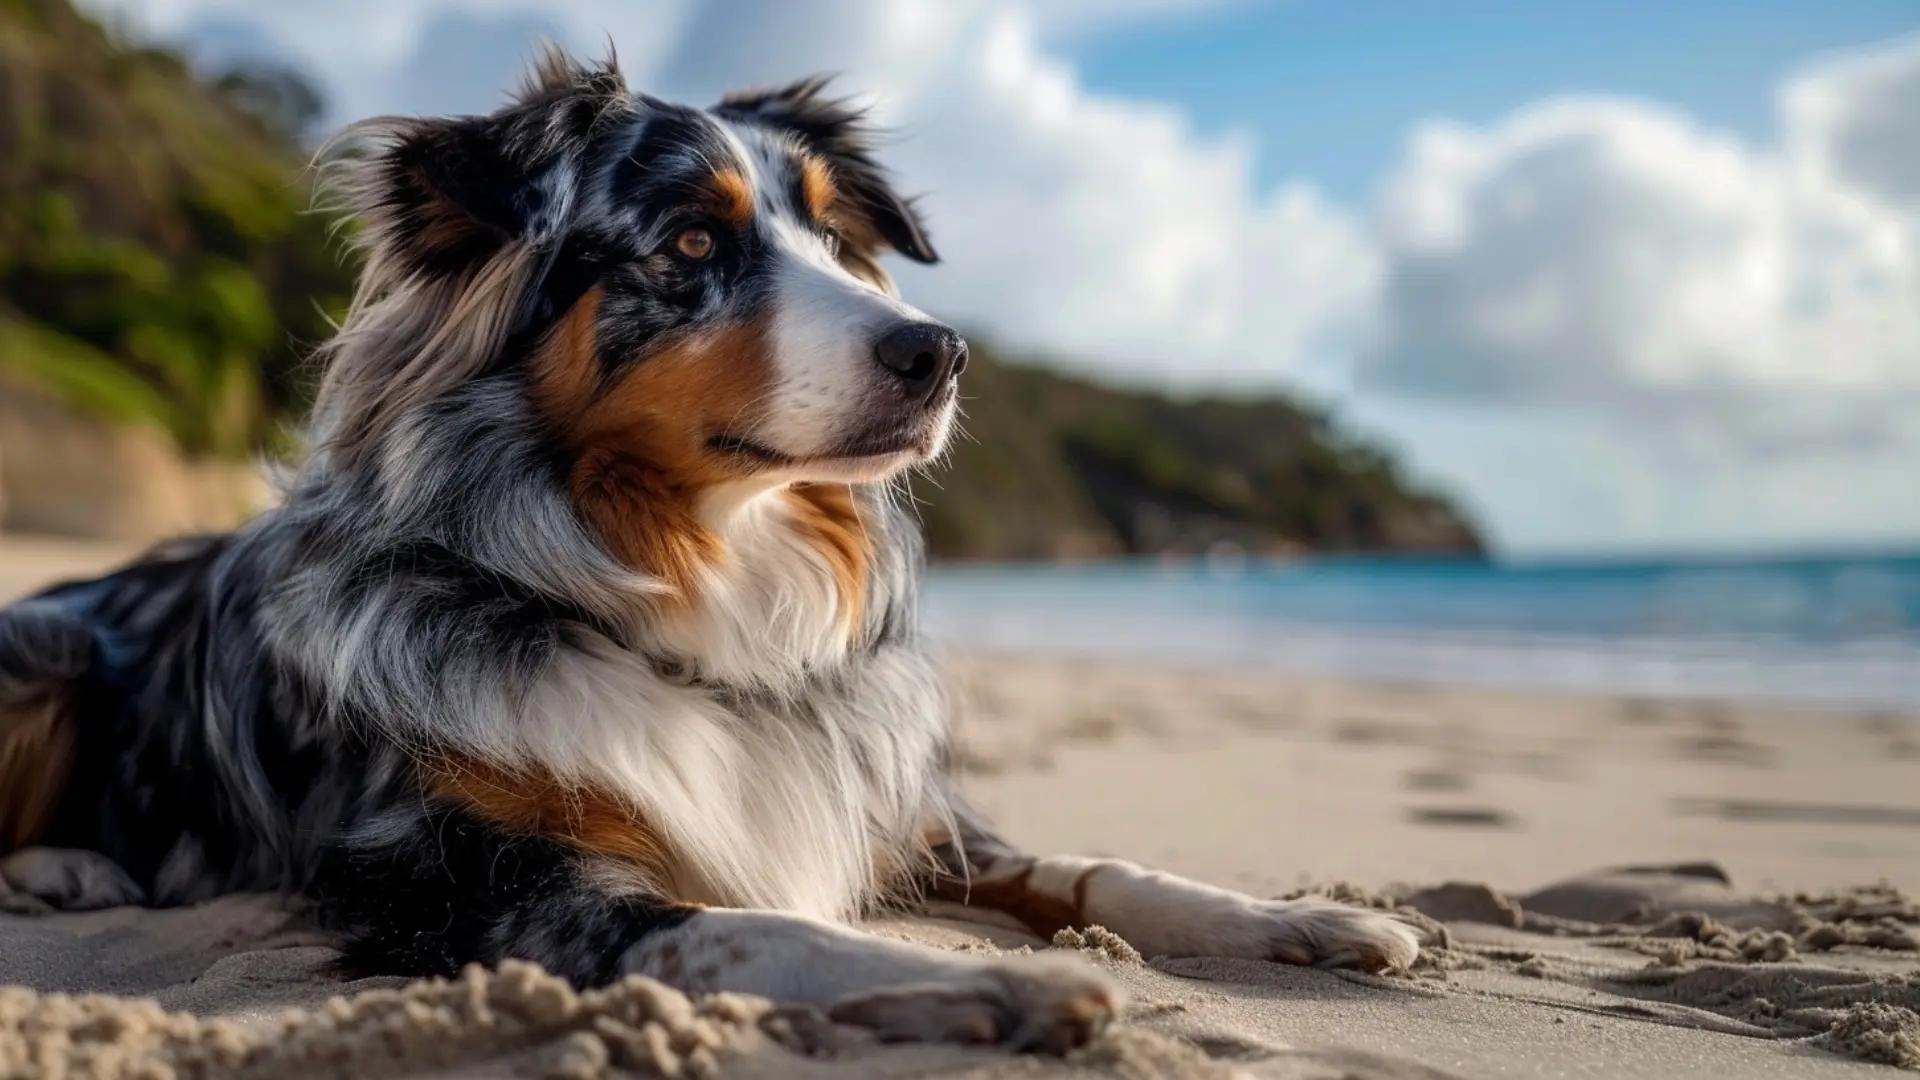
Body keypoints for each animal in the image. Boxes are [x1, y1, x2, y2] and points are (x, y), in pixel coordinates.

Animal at [0, 50, 1413, 1053]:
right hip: (48, 641)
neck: (699, 578)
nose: (942, 351)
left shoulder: (892, 798)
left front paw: (1304, 915)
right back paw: (67, 866)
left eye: (838, 240)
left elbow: (1090, 864)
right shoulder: (476, 887)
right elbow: (754, 929)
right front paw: (1000, 990)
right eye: (690, 242)